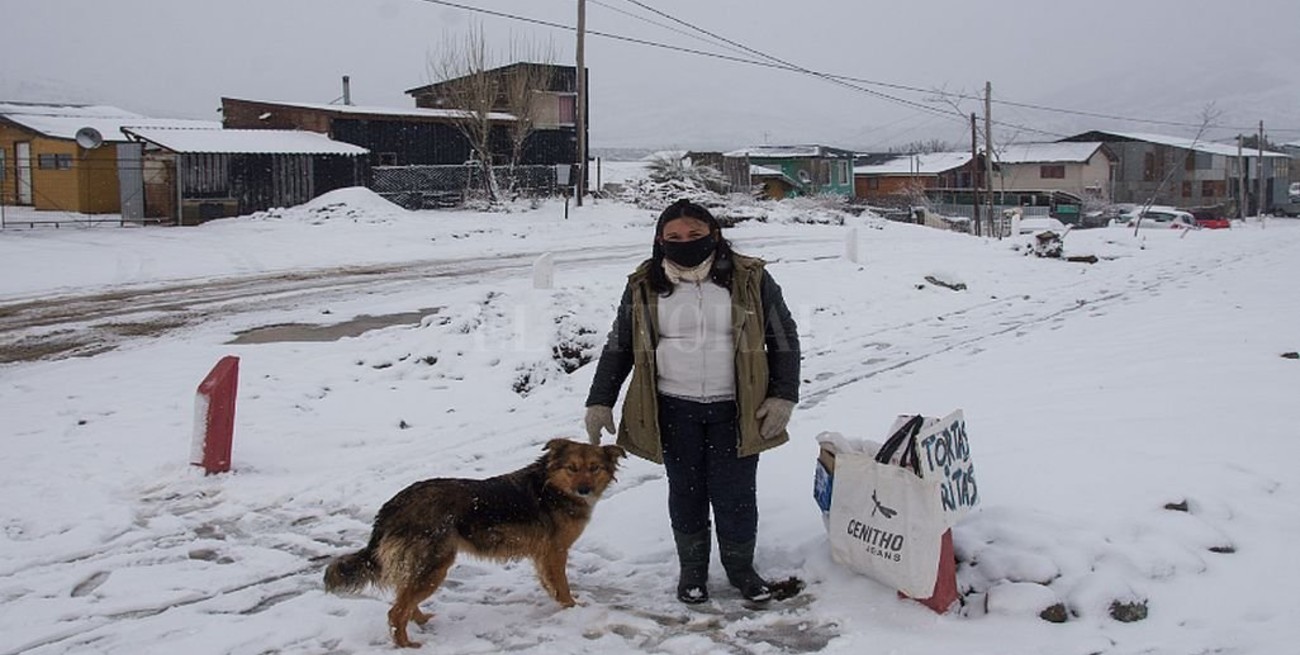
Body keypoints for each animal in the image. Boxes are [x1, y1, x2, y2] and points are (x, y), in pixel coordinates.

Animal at [327, 436, 626, 647]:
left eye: (594, 468)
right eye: (572, 468)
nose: (584, 490)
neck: (551, 487)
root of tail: (392, 505)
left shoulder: (543, 555)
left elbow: (550, 583)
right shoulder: (556, 551)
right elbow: (562, 585)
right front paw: (571, 609)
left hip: (425, 566)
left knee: (404, 599)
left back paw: (422, 619)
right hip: (436, 565)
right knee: (395, 612)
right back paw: (407, 645)